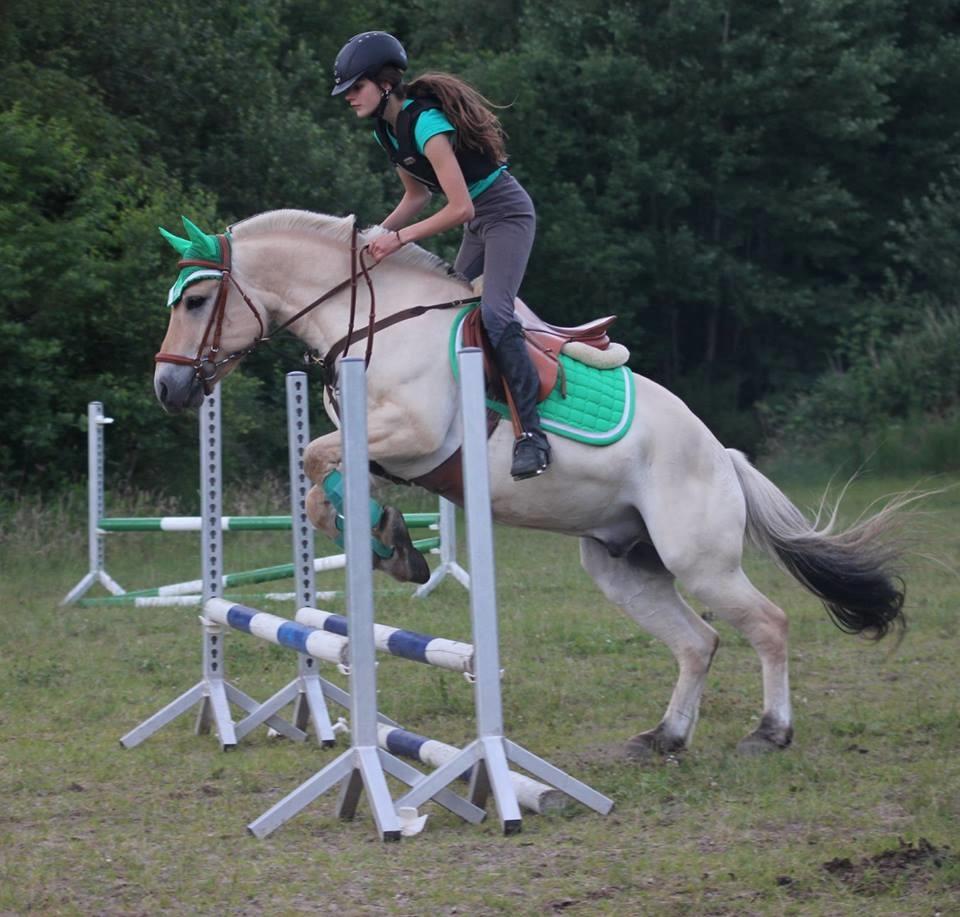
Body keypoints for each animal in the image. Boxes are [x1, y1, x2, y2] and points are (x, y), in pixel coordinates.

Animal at [152, 209, 908, 760]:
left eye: (196, 300)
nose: (167, 388)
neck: (373, 318)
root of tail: (722, 455)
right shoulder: (383, 452)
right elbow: (320, 485)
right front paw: (390, 544)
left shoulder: (414, 436)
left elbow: (314, 460)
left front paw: (389, 542)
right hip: (623, 565)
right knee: (698, 642)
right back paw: (664, 738)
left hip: (700, 559)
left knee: (769, 625)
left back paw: (770, 732)